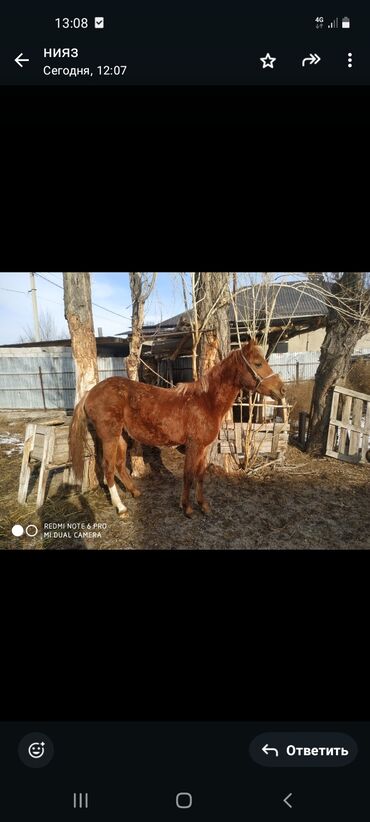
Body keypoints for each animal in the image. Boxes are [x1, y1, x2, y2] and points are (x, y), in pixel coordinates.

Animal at [68, 342, 284, 520]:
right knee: (108, 468)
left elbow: (200, 475)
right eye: (258, 364)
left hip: (121, 436)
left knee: (120, 465)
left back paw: (135, 492)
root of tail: (90, 392)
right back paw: (120, 507)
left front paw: (203, 506)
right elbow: (188, 475)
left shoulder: (204, 448)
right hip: (109, 437)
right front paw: (187, 508)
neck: (206, 401)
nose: (281, 390)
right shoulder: (194, 446)